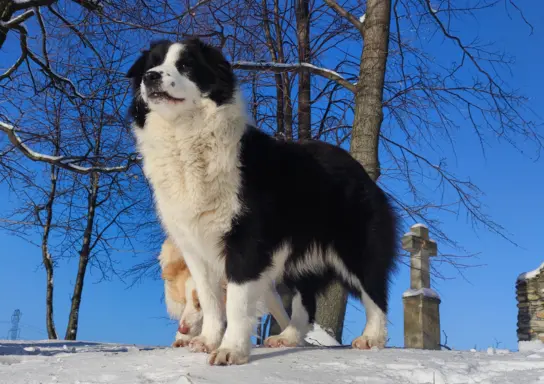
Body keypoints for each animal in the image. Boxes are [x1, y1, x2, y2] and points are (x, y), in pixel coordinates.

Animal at [127, 36, 400, 366]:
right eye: (152, 63)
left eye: (186, 65)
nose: (151, 77)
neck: (185, 135)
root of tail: (358, 168)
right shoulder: (194, 245)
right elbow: (210, 298)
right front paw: (207, 341)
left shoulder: (245, 241)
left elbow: (235, 301)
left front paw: (230, 350)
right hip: (298, 259)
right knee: (306, 300)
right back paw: (289, 337)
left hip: (356, 246)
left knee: (375, 291)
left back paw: (372, 337)